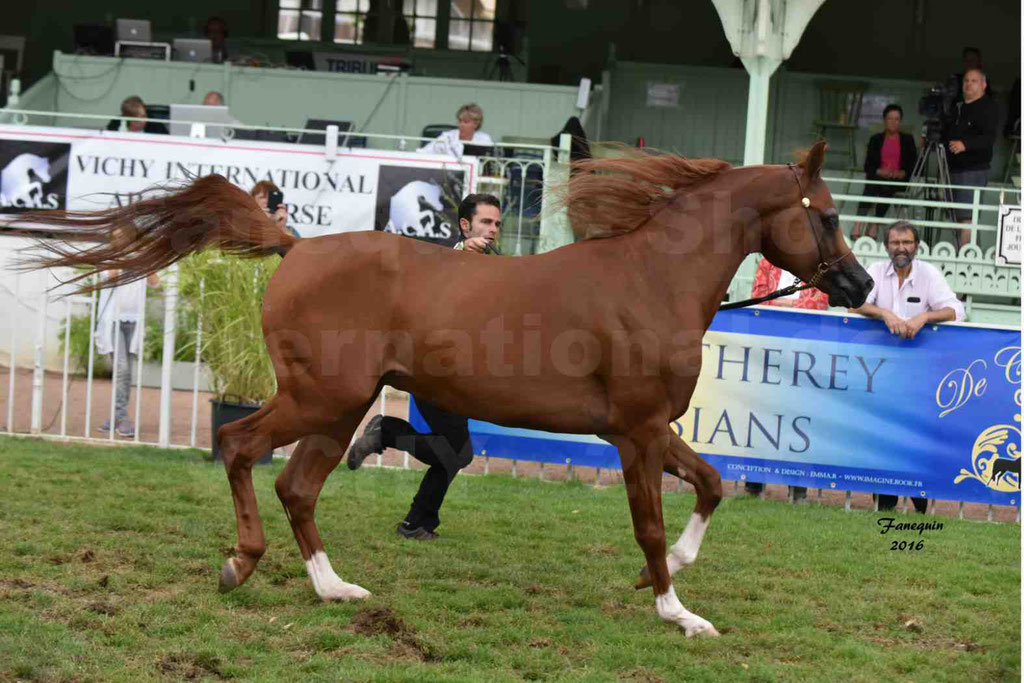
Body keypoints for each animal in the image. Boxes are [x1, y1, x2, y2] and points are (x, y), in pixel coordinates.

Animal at [22, 140, 872, 643]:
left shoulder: (649, 427)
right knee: (237, 444)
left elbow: (713, 482)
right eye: (828, 216)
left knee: (298, 484)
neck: (651, 278)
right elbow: (653, 524)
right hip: (321, 397)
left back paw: (335, 588)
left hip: (338, 407)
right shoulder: (635, 428)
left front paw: (668, 583)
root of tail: (296, 248)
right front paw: (677, 610)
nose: (862, 286)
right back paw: (241, 563)